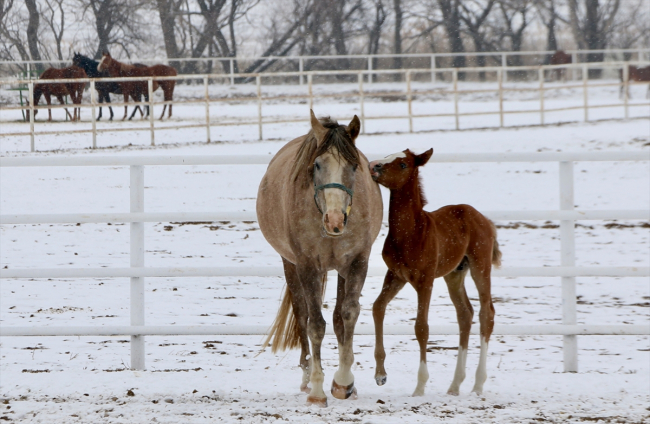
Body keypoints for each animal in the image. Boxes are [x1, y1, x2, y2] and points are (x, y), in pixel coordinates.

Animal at [256, 111, 382, 406]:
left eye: (354, 166)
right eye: (316, 165)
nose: (335, 220)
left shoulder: (357, 262)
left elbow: (347, 314)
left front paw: (343, 382)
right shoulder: (307, 266)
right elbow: (314, 324)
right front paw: (317, 389)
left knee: (337, 317)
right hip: (290, 265)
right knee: (302, 315)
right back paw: (306, 377)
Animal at [368, 149, 498, 398]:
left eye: (402, 164)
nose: (373, 166)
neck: (410, 232)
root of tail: (485, 219)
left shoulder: (424, 280)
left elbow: (421, 327)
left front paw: (419, 387)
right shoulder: (396, 275)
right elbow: (378, 307)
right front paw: (380, 375)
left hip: (480, 265)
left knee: (486, 313)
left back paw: (478, 385)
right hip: (454, 274)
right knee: (465, 313)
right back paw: (455, 385)